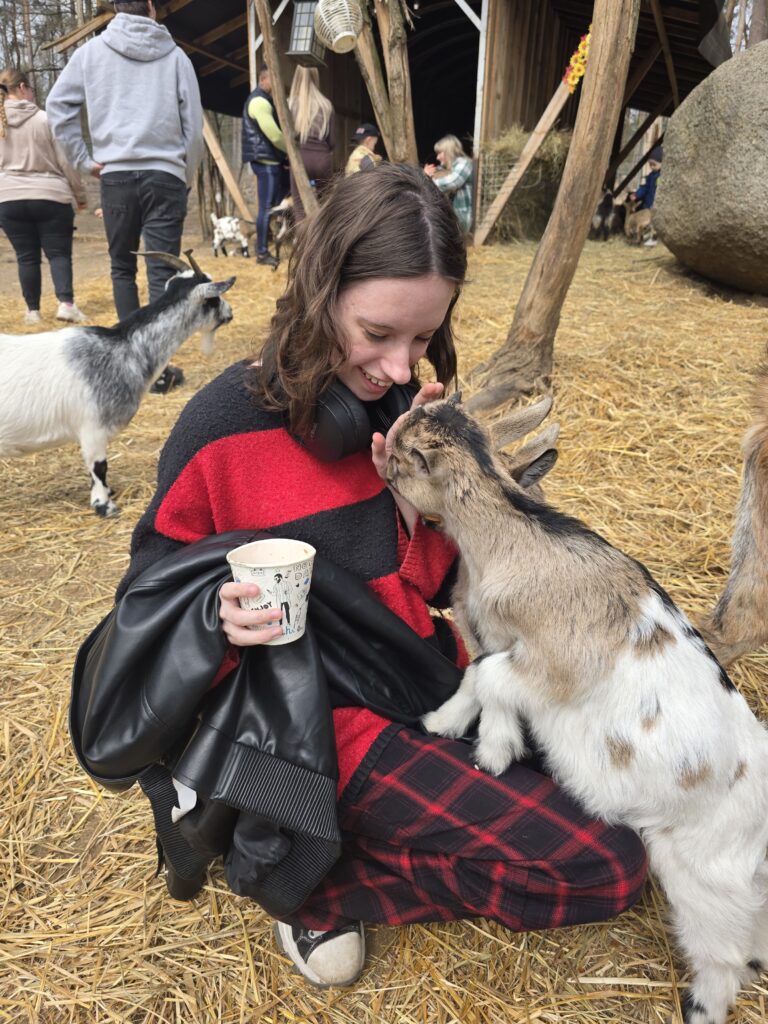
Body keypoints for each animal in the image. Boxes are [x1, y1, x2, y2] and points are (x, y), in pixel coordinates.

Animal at [0, 251, 234, 517]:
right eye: (214, 299)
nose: (230, 312)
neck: (123, 348)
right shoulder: (92, 427)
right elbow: (99, 467)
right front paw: (104, 505)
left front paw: (107, 494)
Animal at [387, 394, 768, 1024]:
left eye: (399, 460)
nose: (382, 466)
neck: (516, 539)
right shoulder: (496, 639)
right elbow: (477, 671)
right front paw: (446, 726)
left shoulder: (557, 663)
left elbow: (491, 675)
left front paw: (494, 751)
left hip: (706, 885)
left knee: (725, 961)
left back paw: (699, 1007)